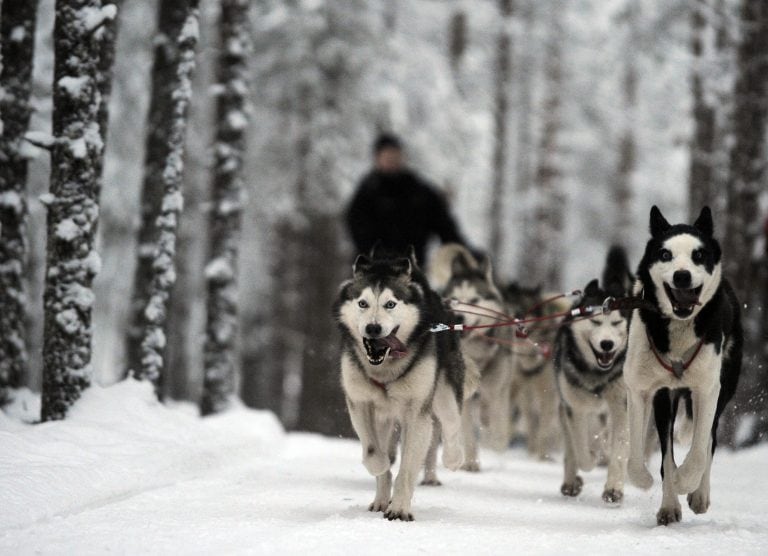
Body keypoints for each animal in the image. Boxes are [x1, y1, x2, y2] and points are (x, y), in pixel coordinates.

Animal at [334, 252, 474, 520]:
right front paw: (380, 468)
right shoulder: (360, 403)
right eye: (362, 303)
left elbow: (407, 469)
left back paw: (454, 458)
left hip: (445, 395)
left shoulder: (417, 414)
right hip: (384, 416)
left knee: (452, 424)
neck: (385, 368)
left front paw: (399, 508)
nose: (373, 328)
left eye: (390, 304)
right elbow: (373, 453)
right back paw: (380, 499)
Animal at [624, 205, 744, 524]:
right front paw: (652, 485)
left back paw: (698, 494)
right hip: (668, 397)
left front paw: (685, 481)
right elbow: (641, 457)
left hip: (723, 387)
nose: (681, 276)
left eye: (698, 255)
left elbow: (700, 450)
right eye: (665, 254)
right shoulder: (645, 390)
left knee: (709, 440)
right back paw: (669, 505)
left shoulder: (707, 389)